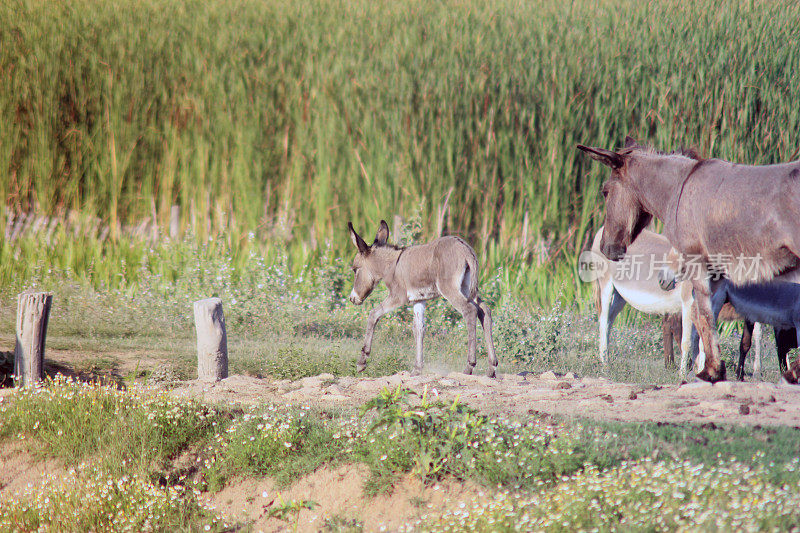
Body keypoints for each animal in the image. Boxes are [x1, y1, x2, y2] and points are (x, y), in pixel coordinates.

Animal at [346, 218, 496, 376]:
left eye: (355, 270)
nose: (352, 298)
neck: (392, 265)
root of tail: (466, 250)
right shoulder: (418, 299)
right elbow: (418, 329)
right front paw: (417, 369)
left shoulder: (397, 297)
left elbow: (373, 314)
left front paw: (362, 362)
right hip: (467, 288)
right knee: (484, 310)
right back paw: (492, 367)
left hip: (450, 289)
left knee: (469, 310)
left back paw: (469, 366)